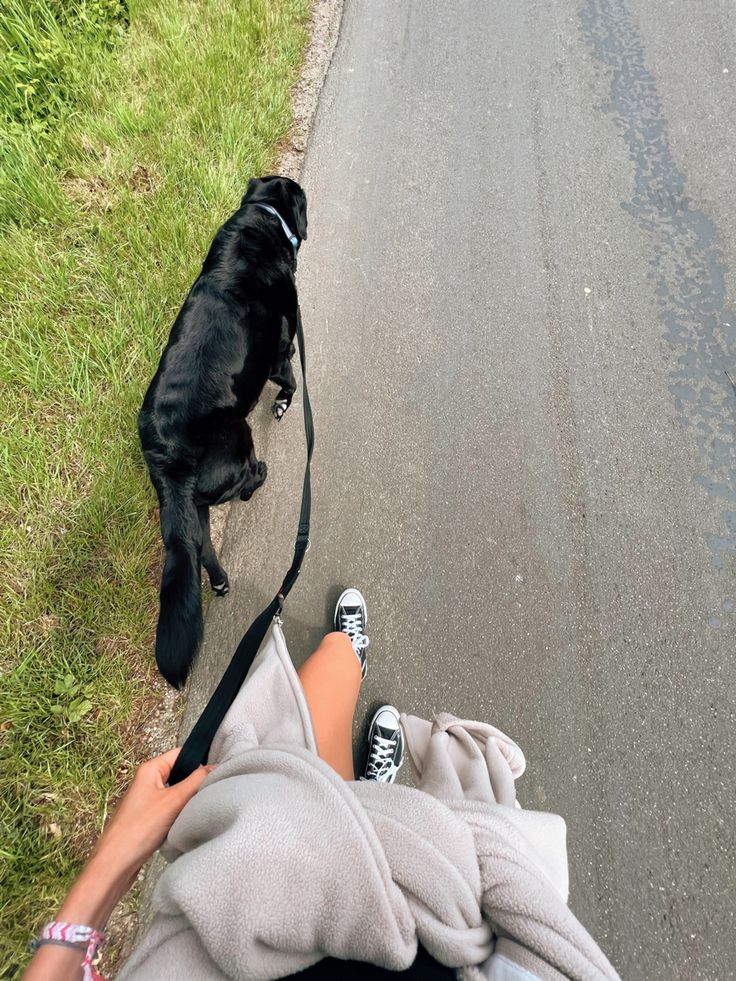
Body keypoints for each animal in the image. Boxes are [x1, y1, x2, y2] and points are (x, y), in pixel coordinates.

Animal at [139, 172, 308, 684]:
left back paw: (218, 583)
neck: (261, 220)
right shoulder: (280, 351)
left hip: (190, 510)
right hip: (239, 443)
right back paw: (262, 475)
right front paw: (285, 404)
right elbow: (290, 377)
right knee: (247, 480)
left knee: (200, 549)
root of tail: (166, 453)